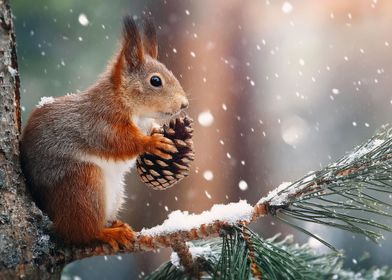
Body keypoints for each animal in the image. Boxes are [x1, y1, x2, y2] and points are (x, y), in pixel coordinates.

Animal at [19, 14, 188, 249]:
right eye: (155, 81)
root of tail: (53, 218)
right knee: (81, 233)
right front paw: (151, 143)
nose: (184, 104)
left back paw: (115, 225)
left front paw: (157, 131)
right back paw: (107, 233)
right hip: (83, 185)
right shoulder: (98, 122)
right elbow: (116, 141)